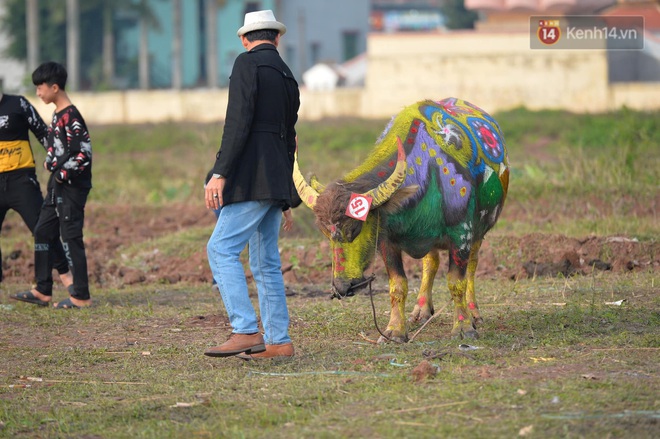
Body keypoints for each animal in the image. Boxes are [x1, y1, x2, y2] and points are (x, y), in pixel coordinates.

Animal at [296, 99, 510, 340]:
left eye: (354, 229)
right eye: (326, 233)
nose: (341, 288)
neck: (425, 173)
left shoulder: (461, 234)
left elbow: (457, 282)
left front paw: (463, 327)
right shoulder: (386, 242)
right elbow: (398, 285)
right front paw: (395, 330)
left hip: (479, 233)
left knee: (472, 265)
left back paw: (474, 314)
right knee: (430, 263)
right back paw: (422, 310)